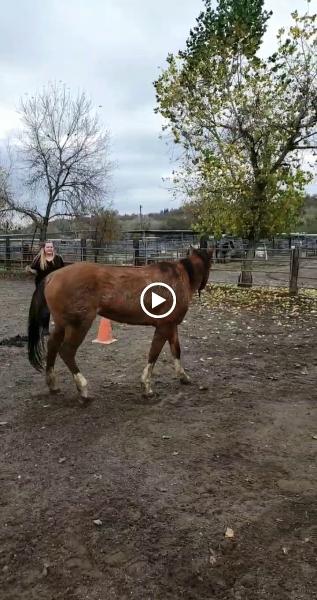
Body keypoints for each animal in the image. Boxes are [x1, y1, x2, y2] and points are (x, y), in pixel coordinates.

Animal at [27, 248, 212, 404]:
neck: (178, 278)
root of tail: (52, 276)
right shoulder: (164, 327)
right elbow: (153, 354)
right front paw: (146, 388)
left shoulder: (171, 326)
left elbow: (176, 350)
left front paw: (183, 377)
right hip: (78, 325)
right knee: (66, 351)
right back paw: (83, 389)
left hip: (61, 325)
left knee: (52, 345)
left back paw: (52, 384)